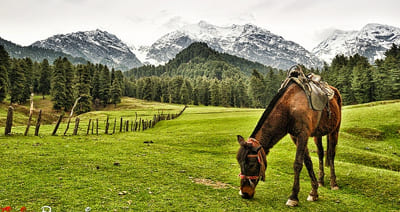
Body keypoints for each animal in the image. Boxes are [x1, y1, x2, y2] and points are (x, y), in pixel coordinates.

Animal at [236, 73, 342, 207]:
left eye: (251, 164)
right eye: (239, 163)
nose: (244, 193)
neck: (289, 106)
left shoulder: (303, 135)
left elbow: (298, 164)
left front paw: (293, 197)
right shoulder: (296, 137)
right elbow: (308, 163)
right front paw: (314, 192)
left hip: (335, 130)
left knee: (331, 154)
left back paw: (334, 183)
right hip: (317, 134)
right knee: (320, 153)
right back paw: (321, 181)